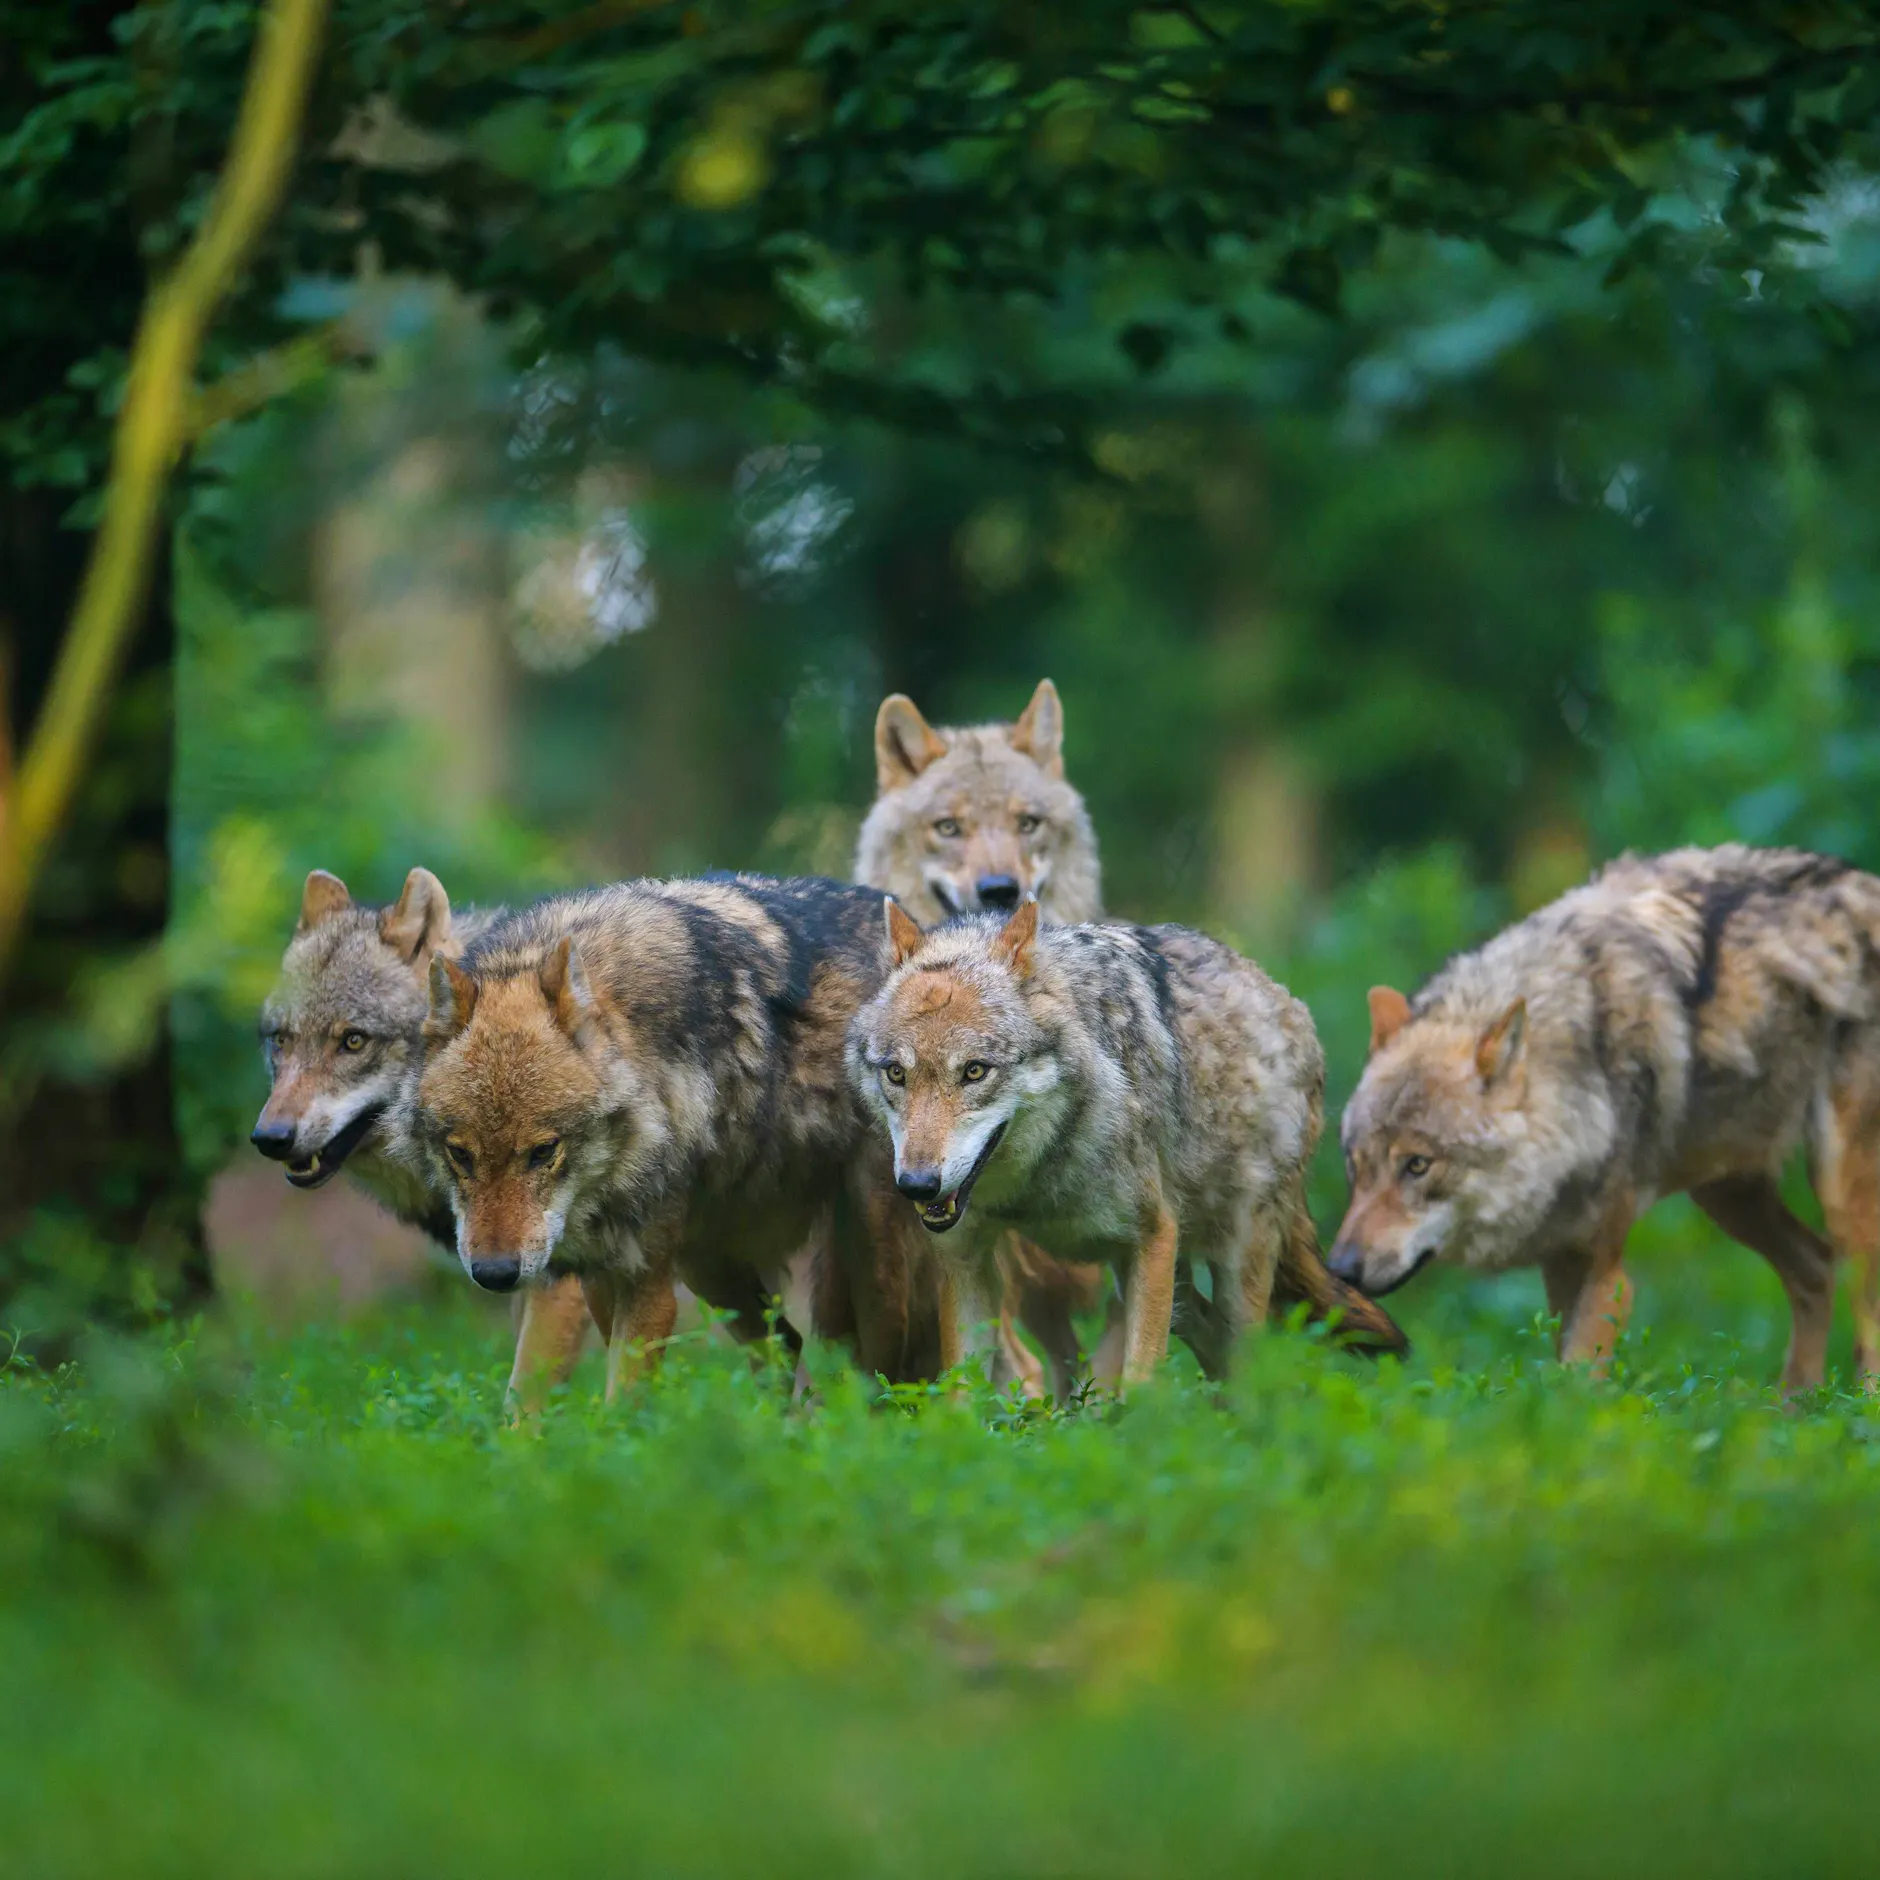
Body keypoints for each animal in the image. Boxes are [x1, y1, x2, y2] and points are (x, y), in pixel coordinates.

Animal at [415, 873, 934, 1395]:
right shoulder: (598, 1273)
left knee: (884, 1373)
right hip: (708, 1263)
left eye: (543, 1152)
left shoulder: (648, 1285)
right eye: (460, 1155)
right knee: (786, 1343)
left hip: (871, 1264)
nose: (494, 1274)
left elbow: (621, 1398)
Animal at [850, 898, 1403, 1389]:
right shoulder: (965, 1259)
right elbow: (962, 1396)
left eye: (974, 1071)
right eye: (896, 1074)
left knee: (1247, 1358)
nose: (917, 1185)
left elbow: (1140, 1383)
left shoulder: (1154, 1236)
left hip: (1231, 1263)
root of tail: (1285, 1000)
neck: (1035, 1186)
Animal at [1329, 844, 1880, 1389]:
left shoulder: (1607, 1273)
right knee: (1815, 1267)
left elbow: (1578, 1382)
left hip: (1837, 1196)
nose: (1340, 1269)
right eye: (1355, 1166)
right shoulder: (1560, 1261)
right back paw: (1794, 1404)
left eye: (1418, 1165)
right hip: (1726, 1194)